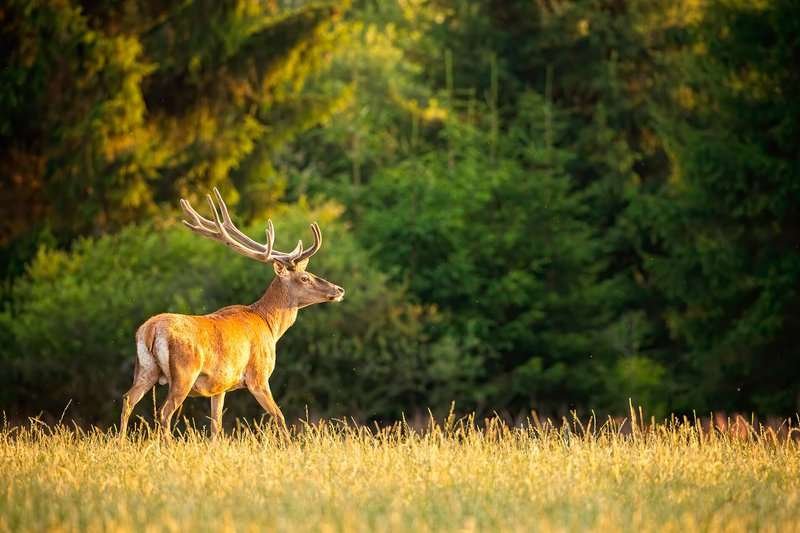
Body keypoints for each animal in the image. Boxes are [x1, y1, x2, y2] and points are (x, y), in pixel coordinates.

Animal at [119, 188, 345, 438]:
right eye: (304, 278)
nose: (339, 290)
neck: (269, 324)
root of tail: (150, 330)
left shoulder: (220, 386)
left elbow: (216, 426)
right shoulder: (258, 376)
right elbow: (280, 417)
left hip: (145, 369)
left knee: (128, 399)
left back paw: (120, 442)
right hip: (184, 372)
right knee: (163, 412)